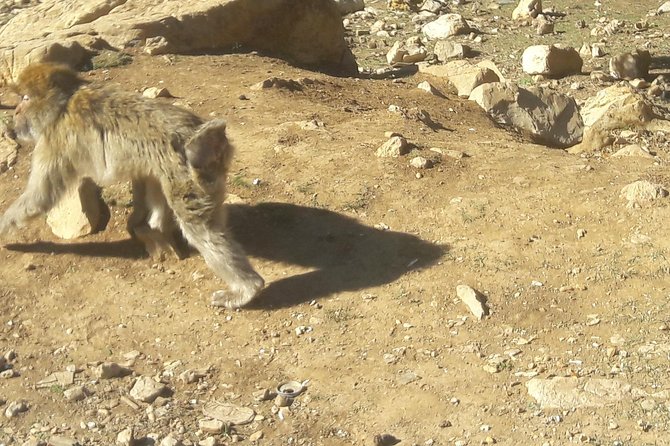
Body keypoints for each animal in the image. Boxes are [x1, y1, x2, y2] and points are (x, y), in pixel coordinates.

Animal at [0, 62, 264, 309]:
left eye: (25, 98)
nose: (16, 112)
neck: (64, 104)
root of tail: (205, 137)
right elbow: (143, 175)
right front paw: (143, 223)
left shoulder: (54, 141)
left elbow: (39, 197)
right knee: (158, 182)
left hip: (191, 176)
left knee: (199, 228)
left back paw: (246, 290)